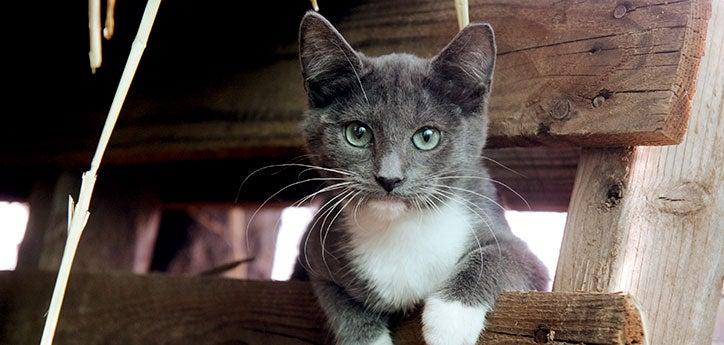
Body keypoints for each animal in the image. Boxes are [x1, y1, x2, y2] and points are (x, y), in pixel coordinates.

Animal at [292, 11, 544, 344]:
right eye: (357, 133)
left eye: (427, 136)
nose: (389, 178)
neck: (401, 227)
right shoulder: (317, 251)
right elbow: (336, 299)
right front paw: (367, 336)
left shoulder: (524, 255)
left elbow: (501, 255)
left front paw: (450, 319)